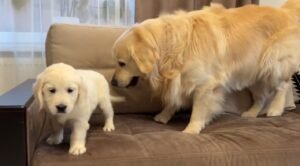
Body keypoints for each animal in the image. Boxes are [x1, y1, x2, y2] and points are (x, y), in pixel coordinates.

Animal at [110, 0, 300, 134]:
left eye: (122, 63)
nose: (112, 82)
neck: (172, 45)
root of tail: (284, 11)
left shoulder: (206, 85)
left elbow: (198, 109)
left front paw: (191, 129)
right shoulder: (181, 80)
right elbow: (174, 100)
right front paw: (163, 116)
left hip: (273, 64)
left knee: (283, 85)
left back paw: (275, 109)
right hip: (252, 74)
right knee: (261, 97)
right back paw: (251, 113)